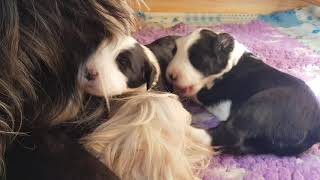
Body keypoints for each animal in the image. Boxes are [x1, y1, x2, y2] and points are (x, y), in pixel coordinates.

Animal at [165, 28, 320, 156]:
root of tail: (313, 132)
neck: (230, 60)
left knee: (226, 135)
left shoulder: (211, 92)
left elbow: (194, 93)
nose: (170, 75)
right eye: (174, 51)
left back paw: (178, 126)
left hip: (263, 106)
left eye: (196, 58)